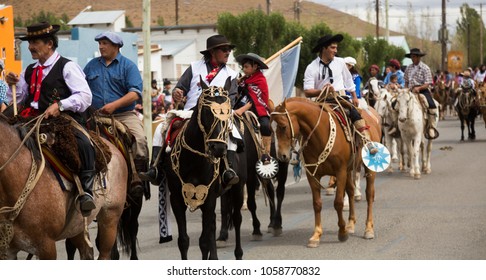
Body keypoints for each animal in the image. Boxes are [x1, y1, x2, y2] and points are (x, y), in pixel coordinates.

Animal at [159, 77, 234, 260]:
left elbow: (204, 241)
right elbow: (183, 240)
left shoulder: (209, 198)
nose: (218, 148)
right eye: (207, 111)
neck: (193, 160)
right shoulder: (176, 199)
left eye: (228, 112)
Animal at [272, 97, 382, 247]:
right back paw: (351, 224)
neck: (320, 135)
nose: (281, 155)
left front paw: (342, 233)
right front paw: (316, 235)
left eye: (283, 126)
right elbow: (317, 204)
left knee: (369, 194)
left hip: (368, 168)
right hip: (349, 170)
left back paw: (368, 229)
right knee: (351, 191)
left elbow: (338, 203)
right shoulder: (313, 175)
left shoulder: (340, 172)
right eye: (272, 128)